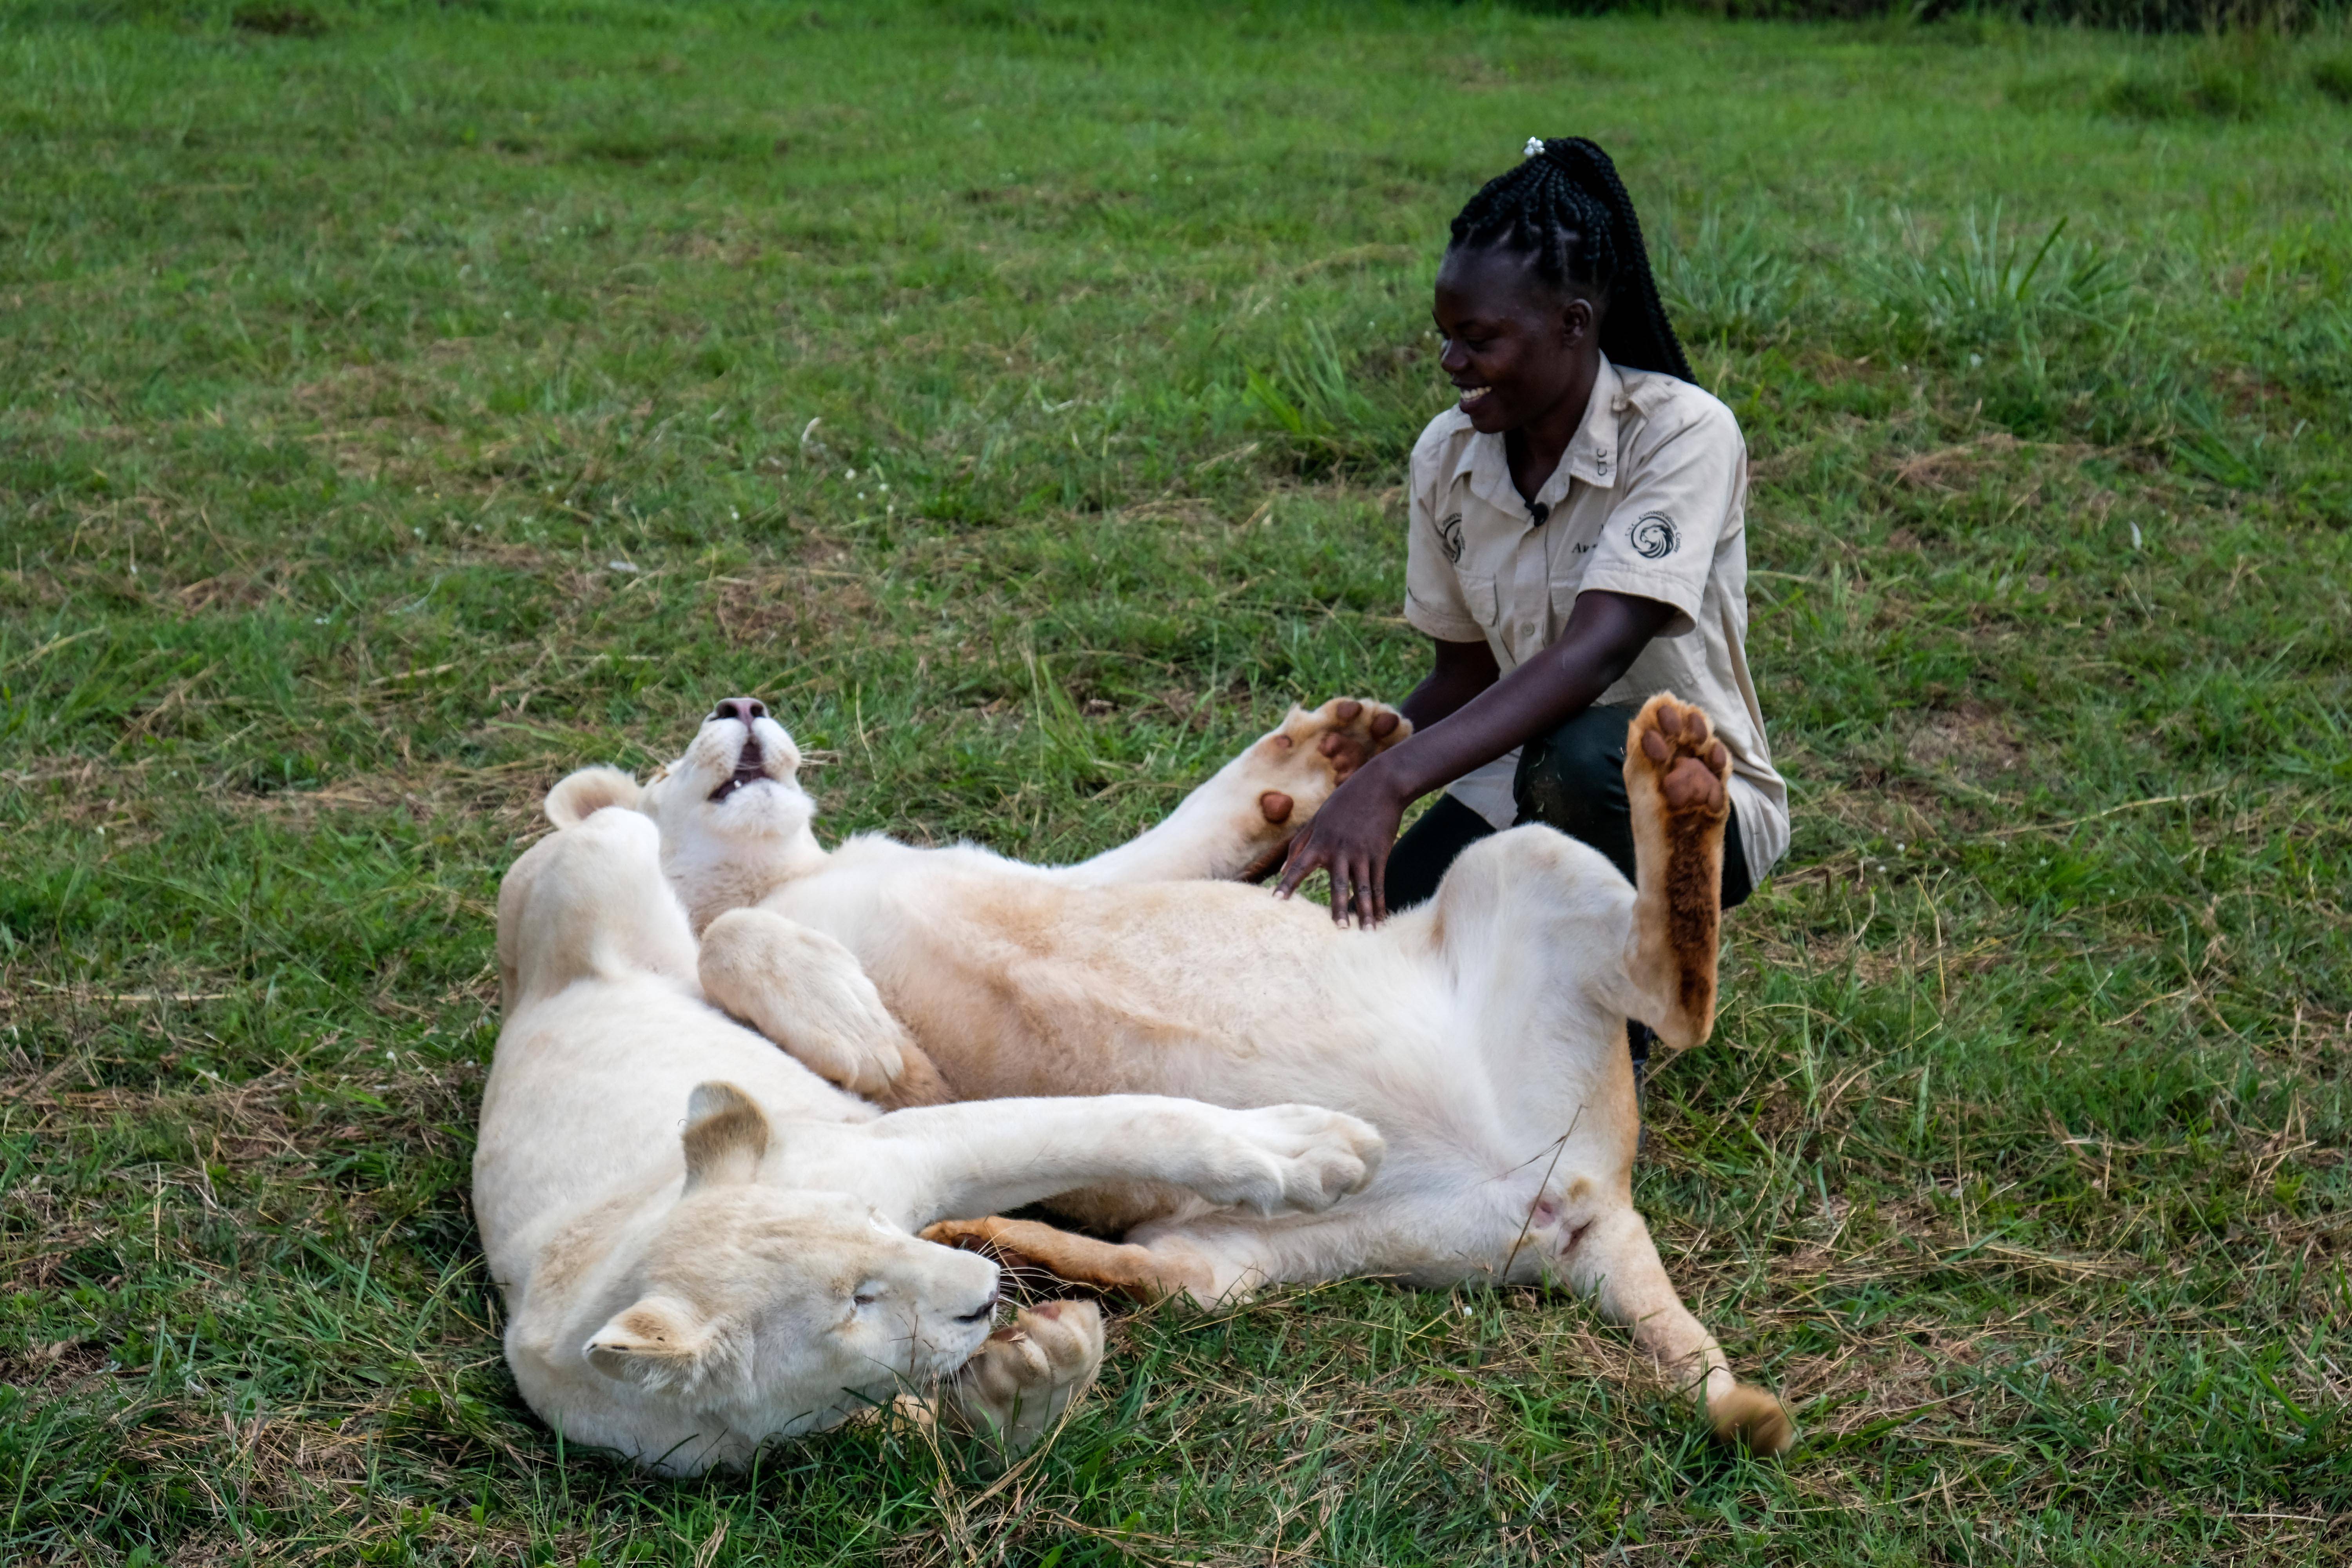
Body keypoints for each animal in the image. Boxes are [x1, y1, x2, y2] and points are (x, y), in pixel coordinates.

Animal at [541, 691, 1797, 1457]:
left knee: (1674, 998)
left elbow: (1187, 831)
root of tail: (1580, 1200)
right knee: (1186, 1282)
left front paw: (1324, 752)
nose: (742, 707)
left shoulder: (1069, 874)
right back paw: (996, 1241)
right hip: (1278, 1237)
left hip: (1525, 862)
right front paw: (872, 1039)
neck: (786, 874)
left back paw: (1684, 772)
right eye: (673, 758)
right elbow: (727, 942)